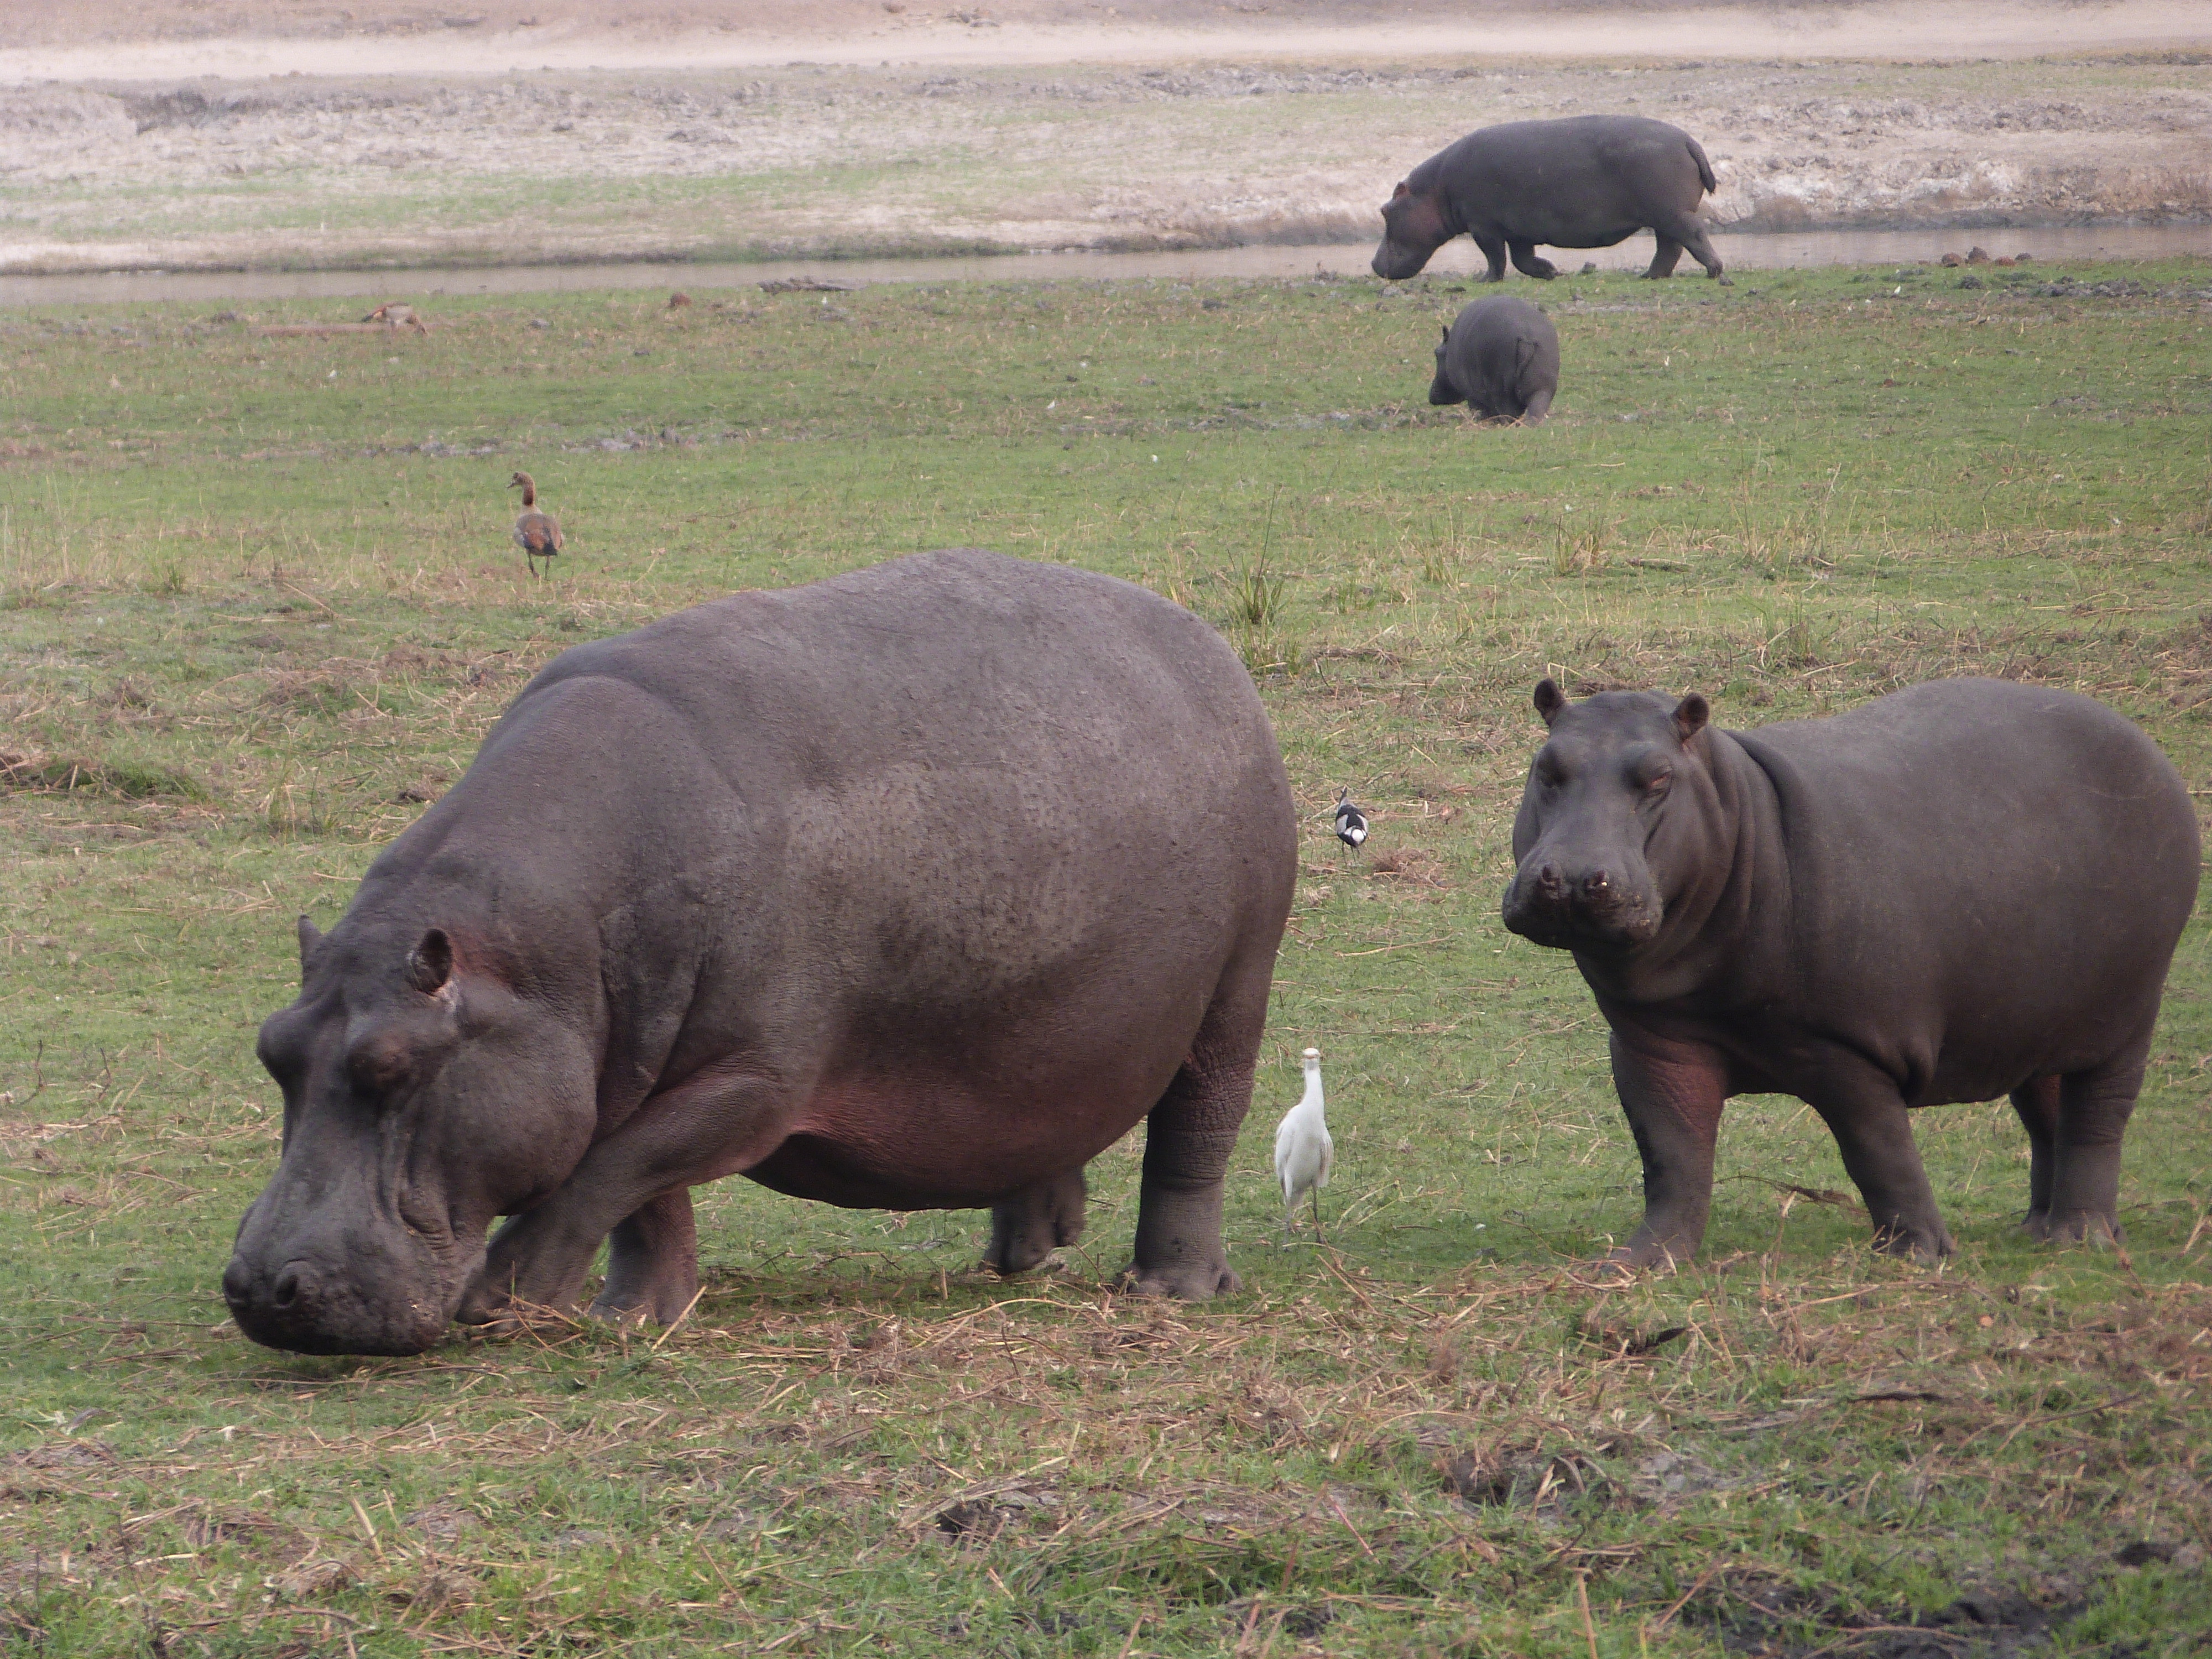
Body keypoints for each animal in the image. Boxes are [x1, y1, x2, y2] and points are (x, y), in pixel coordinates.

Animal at [225, 553, 1292, 1354]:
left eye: (393, 1065)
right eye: (273, 1048)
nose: (259, 1289)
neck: (528, 966)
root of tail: (1210, 648)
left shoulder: (758, 1078)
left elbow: (607, 1171)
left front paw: (506, 1298)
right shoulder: (636, 1065)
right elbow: (642, 1194)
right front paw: (635, 1316)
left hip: (1236, 992)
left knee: (1196, 1135)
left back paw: (1171, 1290)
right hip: (1032, 1030)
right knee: (1040, 1132)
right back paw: (1020, 1260)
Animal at [1363, 116, 1725, 285]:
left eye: (1385, 211)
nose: (1374, 264)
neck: (1435, 189)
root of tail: (1690, 141)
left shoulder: (1483, 226)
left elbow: (1495, 257)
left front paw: (1485, 281)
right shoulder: (1518, 229)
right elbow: (1522, 258)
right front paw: (1551, 271)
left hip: (1671, 212)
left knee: (1692, 235)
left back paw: (1714, 272)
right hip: (1664, 216)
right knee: (1670, 247)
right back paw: (1650, 276)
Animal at [1425, 299, 1566, 429]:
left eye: (1436, 353)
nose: (1432, 395)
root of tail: (1526, 336)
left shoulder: (1473, 395)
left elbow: (1479, 412)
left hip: (1501, 389)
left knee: (1508, 413)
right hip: (1543, 387)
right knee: (1536, 409)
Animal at [1495, 681, 2203, 1265]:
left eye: (1658, 777)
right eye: (1545, 768)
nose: (1573, 878)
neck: (1736, 810)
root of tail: (2144, 743)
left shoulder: (1845, 1045)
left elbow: (1876, 1147)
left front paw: (1915, 1255)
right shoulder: (1652, 1043)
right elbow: (1670, 1154)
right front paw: (1639, 1263)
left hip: (2125, 1014)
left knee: (2097, 1118)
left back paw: (2079, 1239)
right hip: (2034, 1017)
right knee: (2047, 1110)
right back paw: (2032, 1230)